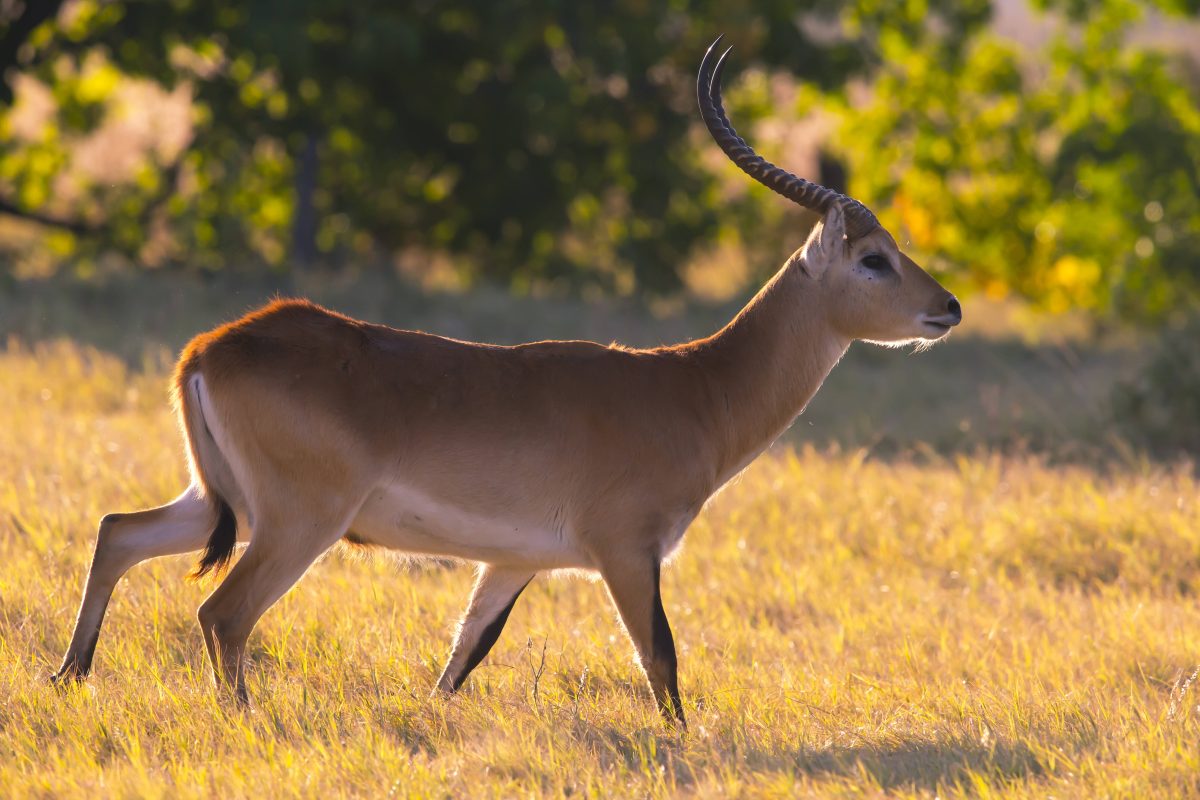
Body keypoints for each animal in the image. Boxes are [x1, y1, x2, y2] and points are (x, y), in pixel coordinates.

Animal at [51, 38, 960, 724]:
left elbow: (462, 658)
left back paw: (68, 677)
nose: (947, 308)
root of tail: (213, 346)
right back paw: (239, 716)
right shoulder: (625, 551)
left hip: (219, 501)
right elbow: (661, 661)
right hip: (295, 522)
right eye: (874, 259)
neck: (695, 389)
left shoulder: (514, 561)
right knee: (222, 613)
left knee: (116, 531)